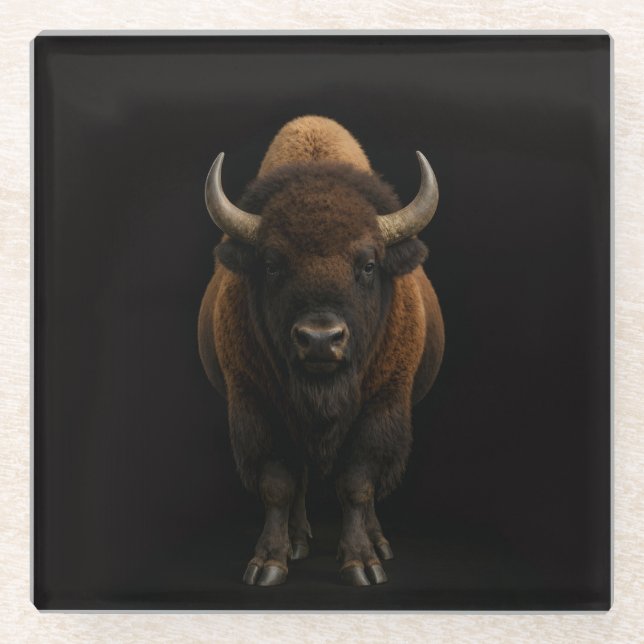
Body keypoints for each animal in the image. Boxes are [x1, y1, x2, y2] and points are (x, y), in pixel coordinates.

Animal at [198, 115, 444, 586]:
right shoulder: (257, 406)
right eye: (272, 264)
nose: (319, 339)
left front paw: (363, 564)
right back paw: (297, 542)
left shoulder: (382, 406)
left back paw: (379, 543)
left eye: (368, 264)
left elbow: (358, 484)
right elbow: (277, 484)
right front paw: (268, 564)